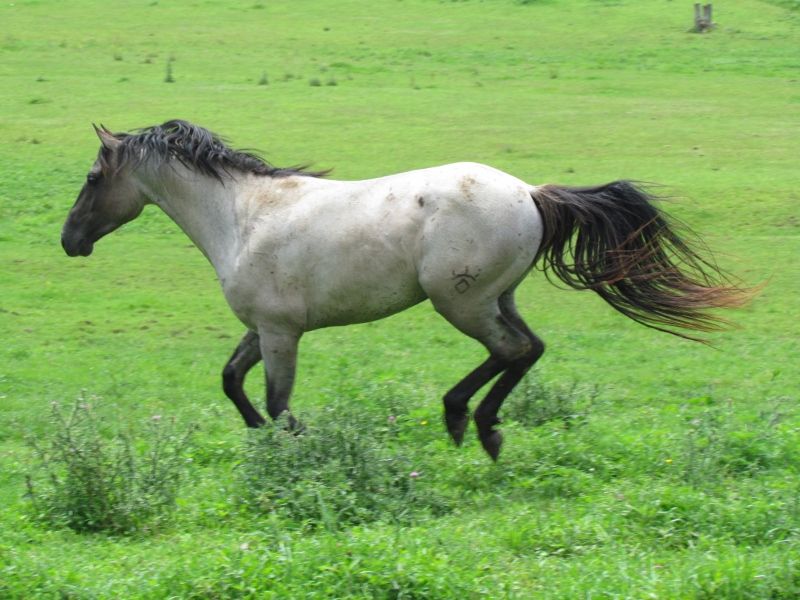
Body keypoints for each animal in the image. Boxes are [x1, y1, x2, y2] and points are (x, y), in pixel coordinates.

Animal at [61, 120, 750, 460]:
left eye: (93, 177)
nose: (70, 241)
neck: (243, 216)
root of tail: (531, 192)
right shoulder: (261, 328)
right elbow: (232, 382)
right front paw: (263, 442)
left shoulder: (282, 332)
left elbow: (278, 402)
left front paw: (299, 450)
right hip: (496, 297)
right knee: (529, 348)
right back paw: (480, 427)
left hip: (460, 300)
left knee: (509, 351)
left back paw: (468, 422)